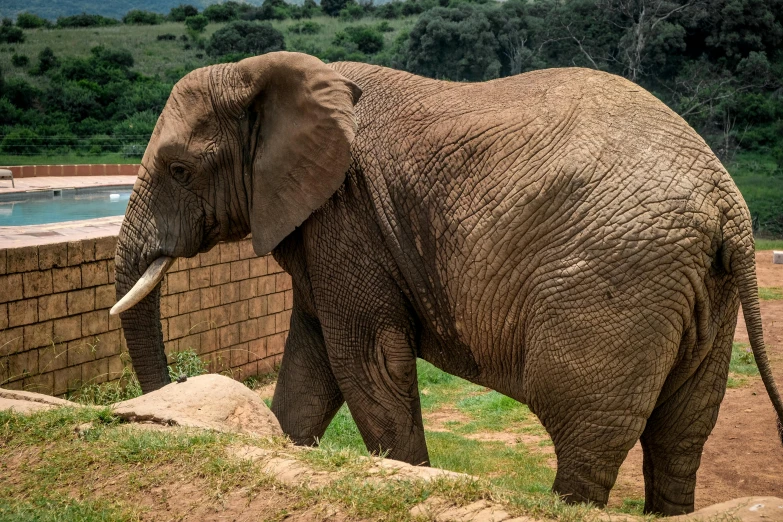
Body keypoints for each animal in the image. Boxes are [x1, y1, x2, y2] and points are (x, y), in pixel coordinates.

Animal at [112, 50, 783, 512]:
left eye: (179, 169)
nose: (159, 411)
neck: (264, 75)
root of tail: (728, 203)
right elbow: (312, 360)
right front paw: (284, 444)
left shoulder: (346, 213)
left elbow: (366, 361)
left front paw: (411, 476)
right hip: (703, 290)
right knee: (681, 434)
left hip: (617, 278)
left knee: (586, 432)